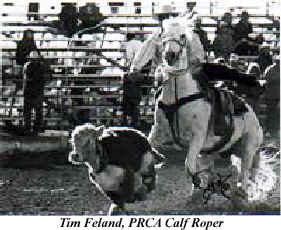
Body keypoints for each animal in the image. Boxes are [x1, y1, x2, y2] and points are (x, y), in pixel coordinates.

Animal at [144, 18, 264, 200]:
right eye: (163, 35)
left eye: (182, 35)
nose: (170, 54)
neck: (178, 96)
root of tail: (250, 111)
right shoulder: (158, 131)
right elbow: (146, 142)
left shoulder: (197, 137)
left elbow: (189, 166)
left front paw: (199, 184)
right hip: (212, 151)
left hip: (249, 144)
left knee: (244, 170)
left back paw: (241, 191)